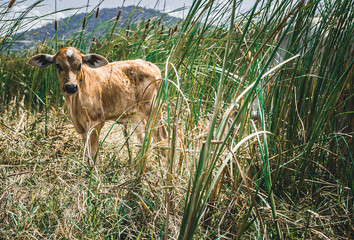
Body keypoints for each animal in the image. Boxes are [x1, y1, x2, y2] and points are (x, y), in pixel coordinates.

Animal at [27, 47, 166, 163]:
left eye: (80, 65)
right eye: (58, 65)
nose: (71, 87)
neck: (74, 103)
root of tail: (150, 65)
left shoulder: (96, 122)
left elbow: (93, 155)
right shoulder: (82, 128)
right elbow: (87, 155)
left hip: (153, 109)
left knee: (162, 137)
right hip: (136, 116)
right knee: (143, 141)